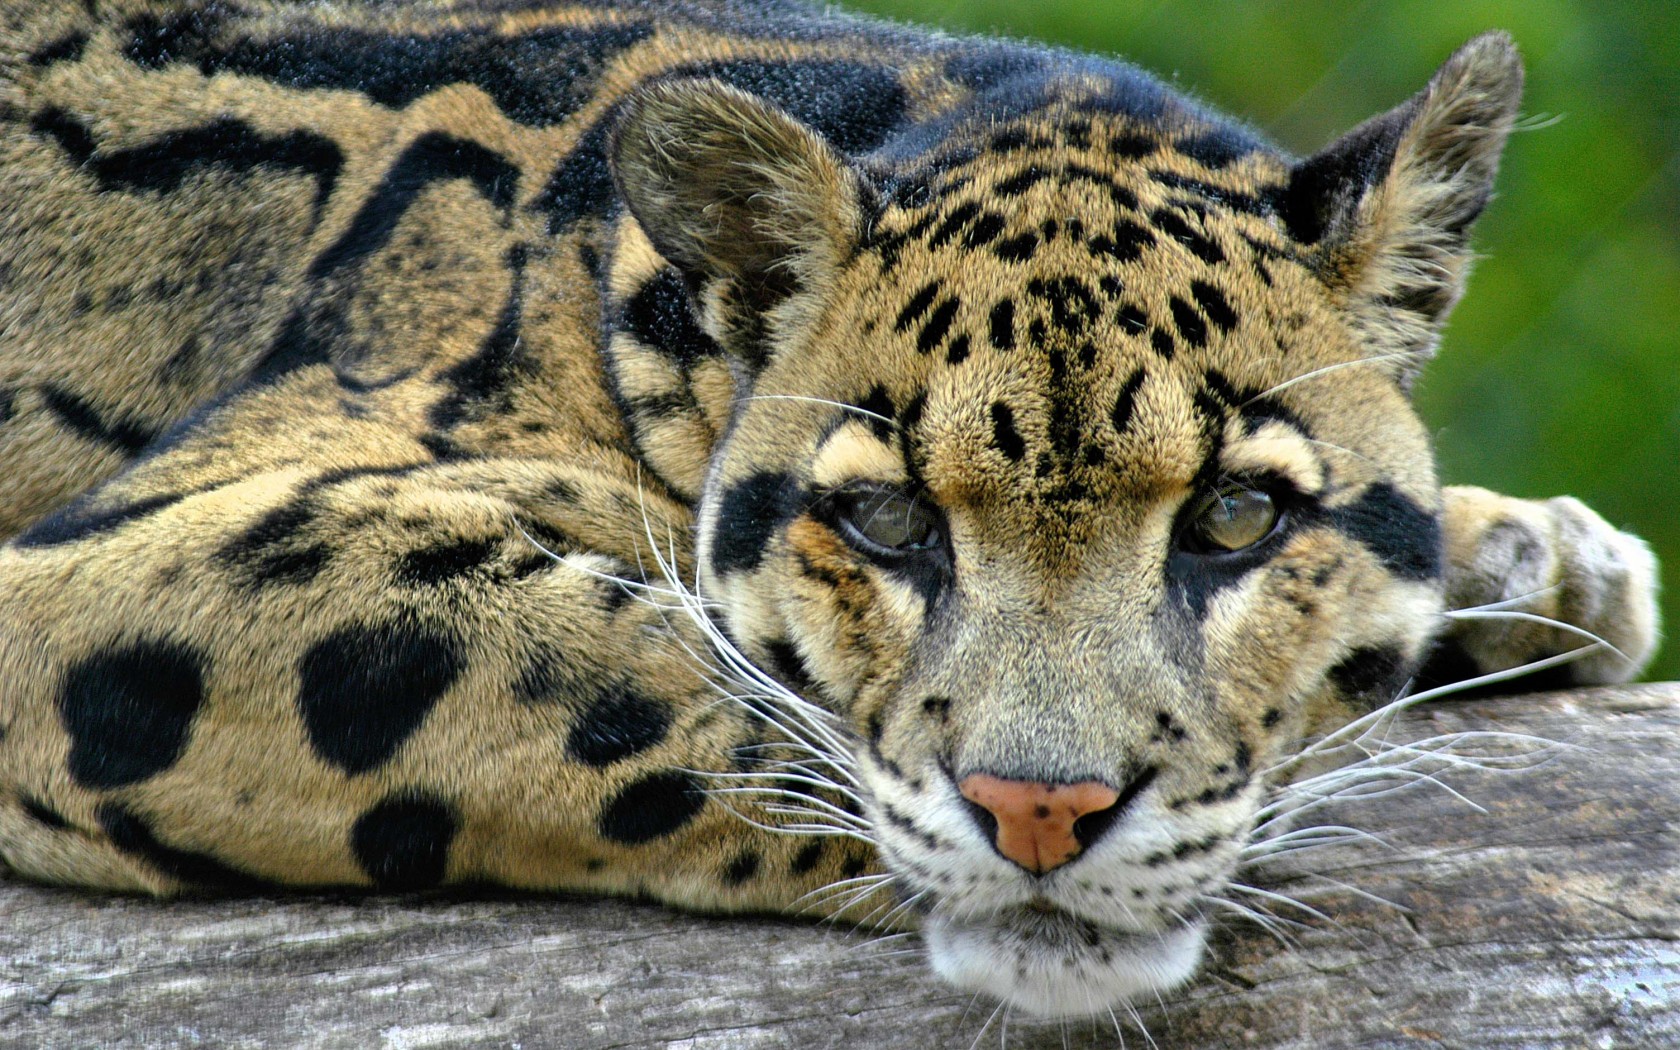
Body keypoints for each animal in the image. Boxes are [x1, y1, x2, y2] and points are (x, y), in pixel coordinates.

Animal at [0, 0, 1661, 1022]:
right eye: (889, 526)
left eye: (1238, 517)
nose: (1040, 812)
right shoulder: (109, 566)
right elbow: (638, 669)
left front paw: (1536, 560)